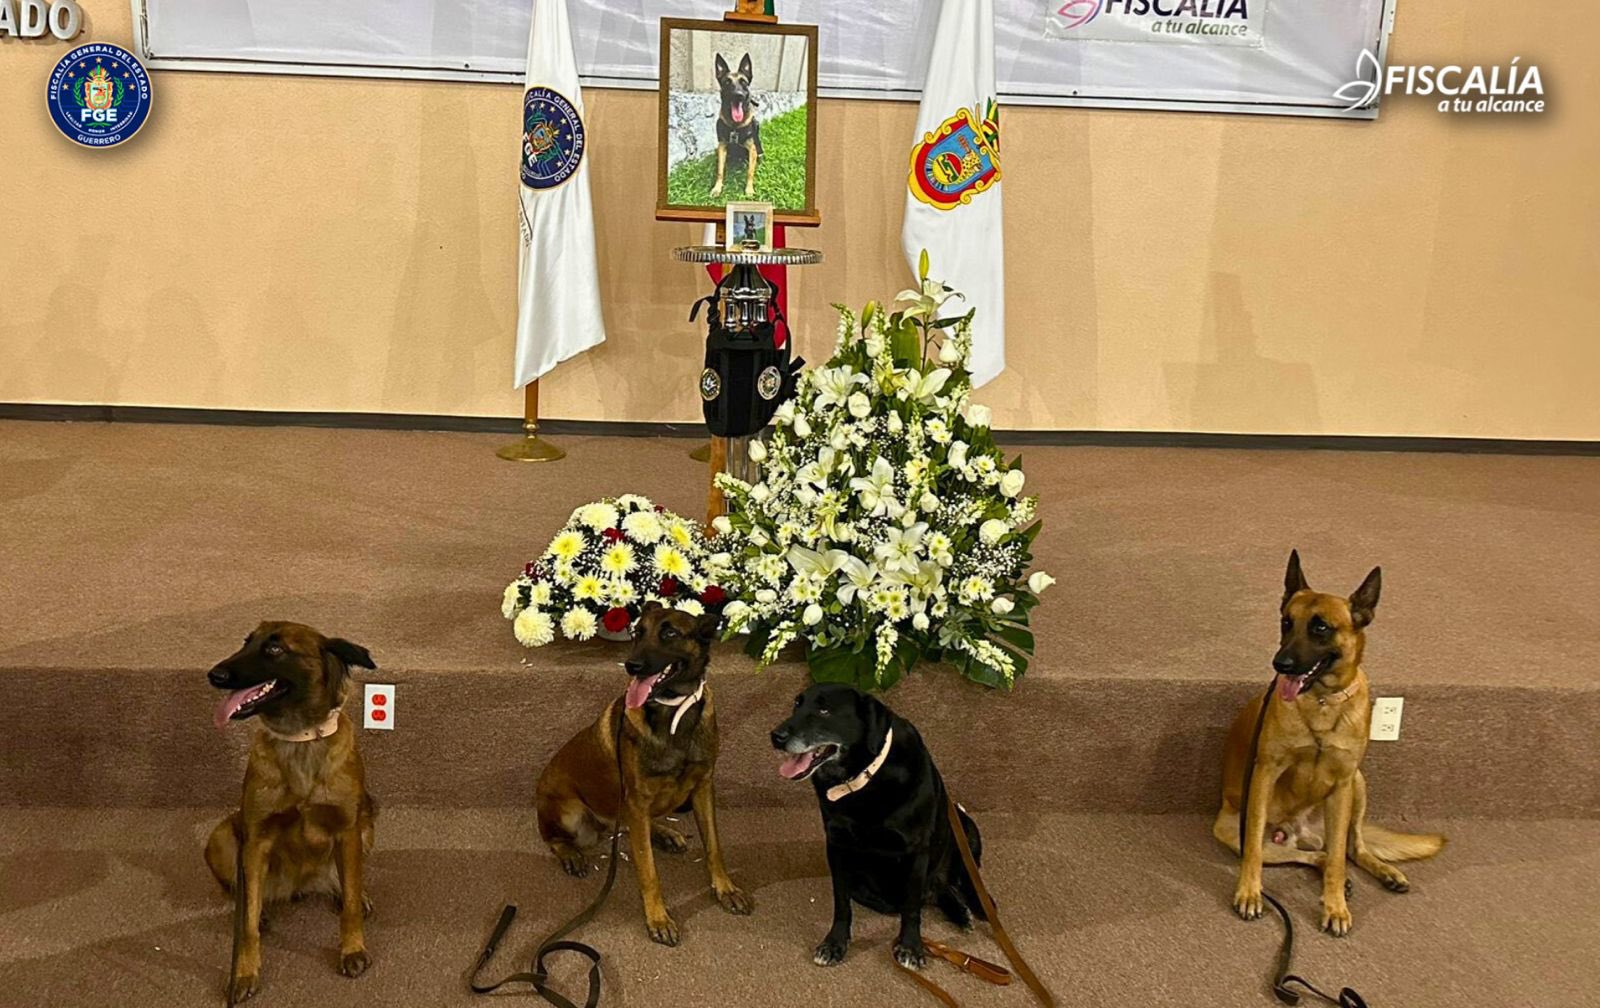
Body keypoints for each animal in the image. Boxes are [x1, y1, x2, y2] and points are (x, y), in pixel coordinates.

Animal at [203, 624, 377, 1004]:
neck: (301, 738)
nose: (215, 675)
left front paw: (352, 948)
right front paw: (244, 973)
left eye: (275, 649)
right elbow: (247, 923)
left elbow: (350, 902)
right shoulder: (255, 839)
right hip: (222, 837)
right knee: (243, 893)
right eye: (246, 642)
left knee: (345, 880)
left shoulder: (347, 828)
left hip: (367, 819)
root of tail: (299, 885)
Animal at [534, 608, 752, 947]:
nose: (631, 666)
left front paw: (725, 887)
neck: (673, 710)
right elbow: (648, 870)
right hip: (572, 812)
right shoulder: (637, 799)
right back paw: (570, 854)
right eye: (638, 632)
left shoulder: (703, 787)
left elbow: (714, 847)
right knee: (554, 837)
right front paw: (658, 918)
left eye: (670, 633)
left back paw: (663, 833)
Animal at [768, 688, 979, 972]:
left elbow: (911, 907)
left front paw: (911, 946)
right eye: (796, 705)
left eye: (824, 710)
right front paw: (835, 943)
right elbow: (841, 902)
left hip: (967, 830)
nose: (776, 736)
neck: (862, 778)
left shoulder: (917, 851)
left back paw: (961, 910)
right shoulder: (837, 846)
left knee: (945, 884)